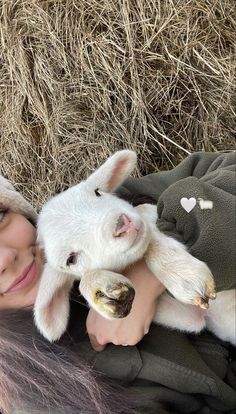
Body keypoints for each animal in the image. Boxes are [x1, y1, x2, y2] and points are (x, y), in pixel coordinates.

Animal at [34, 150, 235, 344]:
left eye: (97, 192)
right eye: (71, 259)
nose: (121, 224)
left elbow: (144, 213)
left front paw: (184, 275)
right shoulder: (194, 316)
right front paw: (103, 291)